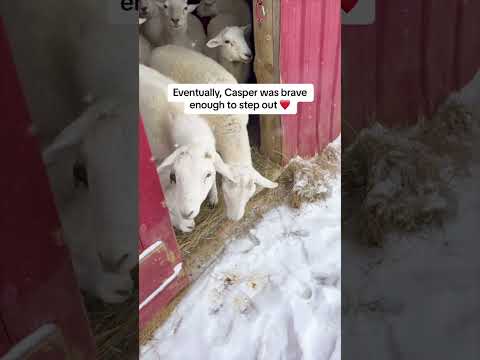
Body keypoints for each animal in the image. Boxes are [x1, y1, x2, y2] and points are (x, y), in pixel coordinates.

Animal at [150, 45, 278, 219]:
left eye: (249, 196)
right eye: (226, 192)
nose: (234, 219)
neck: (231, 125)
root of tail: (160, 47)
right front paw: (213, 197)